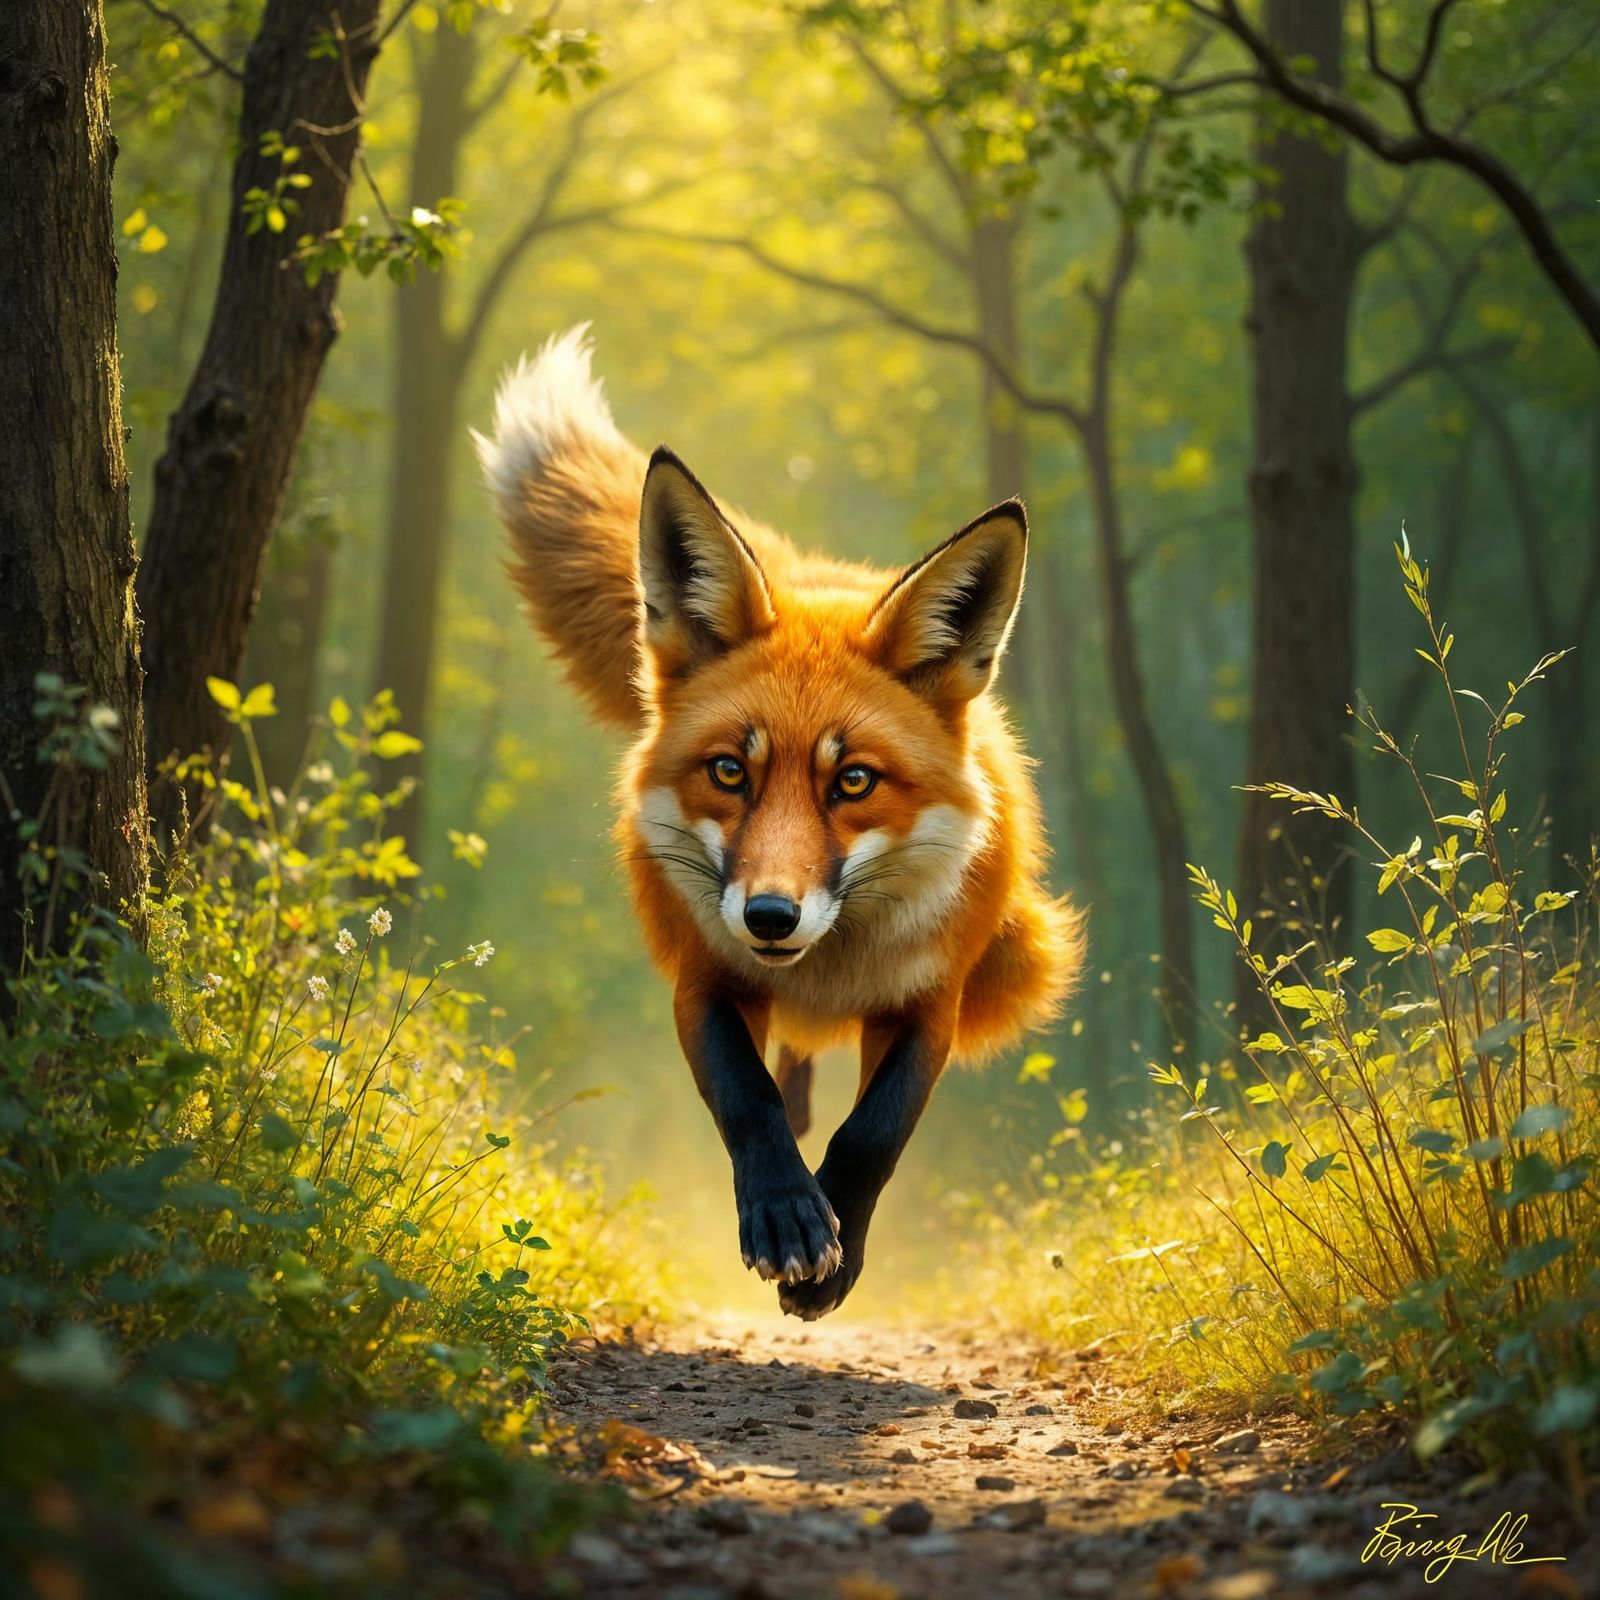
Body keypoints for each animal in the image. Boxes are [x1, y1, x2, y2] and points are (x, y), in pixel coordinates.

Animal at [476, 327, 1084, 1319]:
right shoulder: (703, 978)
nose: (769, 916)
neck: (827, 971)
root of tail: (814, 576)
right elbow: (748, 1100)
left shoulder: (932, 1001)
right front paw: (786, 1216)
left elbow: (874, 1131)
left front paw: (833, 1257)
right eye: (731, 772)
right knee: (785, 1083)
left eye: (855, 782)